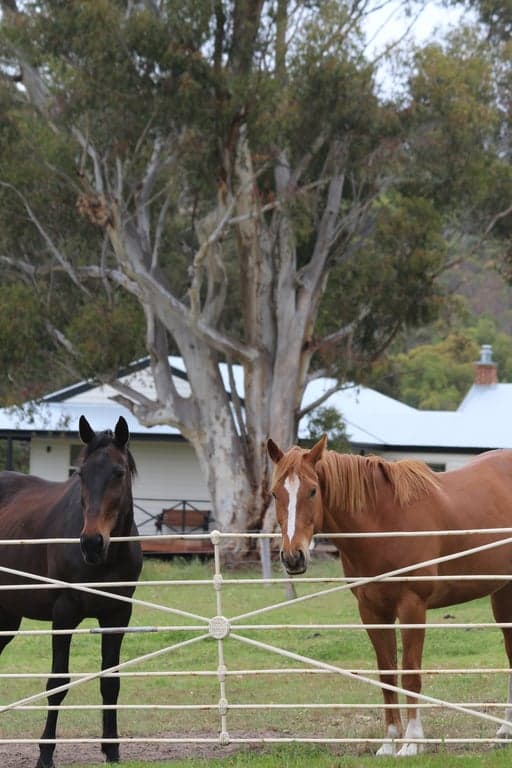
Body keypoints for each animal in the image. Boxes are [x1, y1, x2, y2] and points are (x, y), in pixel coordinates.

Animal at [0, 415, 142, 768]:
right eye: (81, 474)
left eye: (119, 473)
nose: (91, 543)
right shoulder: (63, 615)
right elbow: (57, 683)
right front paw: (45, 753)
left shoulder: (118, 615)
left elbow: (110, 682)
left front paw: (112, 749)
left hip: (7, 618)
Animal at [267, 434, 512, 756]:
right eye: (274, 494)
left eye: (312, 490)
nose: (293, 557)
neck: (385, 522)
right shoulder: (372, 611)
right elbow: (386, 674)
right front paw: (390, 740)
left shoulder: (412, 607)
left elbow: (410, 674)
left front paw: (411, 742)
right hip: (503, 594)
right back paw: (505, 729)